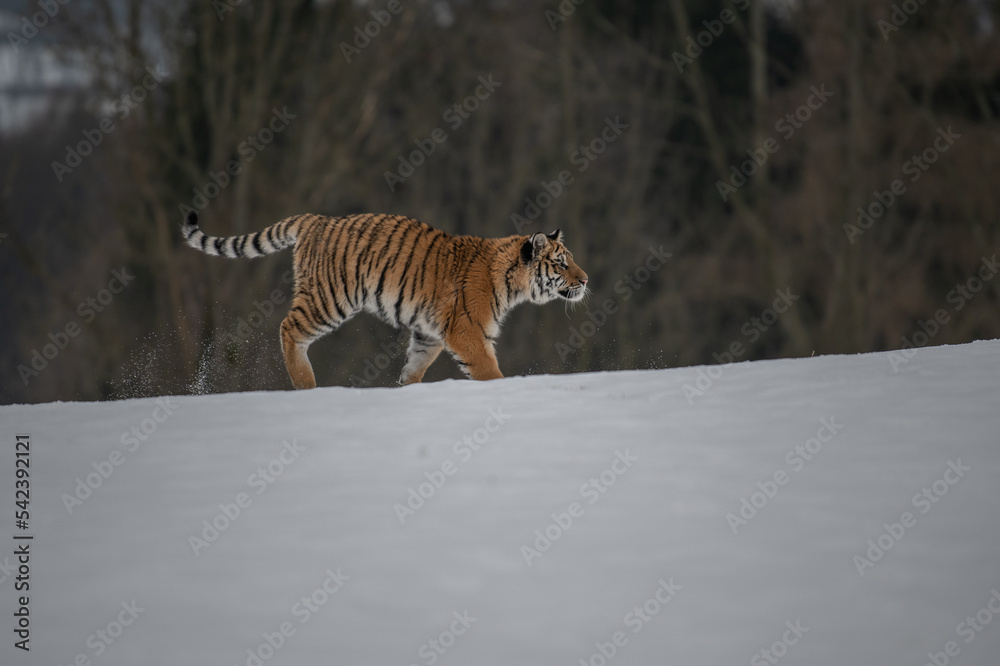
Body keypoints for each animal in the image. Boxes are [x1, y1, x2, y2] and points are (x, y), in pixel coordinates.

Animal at [181, 211, 589, 389]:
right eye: (561, 263)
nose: (586, 281)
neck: (510, 281)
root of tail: (316, 218)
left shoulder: (430, 334)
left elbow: (414, 368)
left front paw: (405, 389)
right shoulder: (467, 331)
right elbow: (488, 371)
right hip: (331, 298)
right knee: (288, 327)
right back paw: (306, 384)